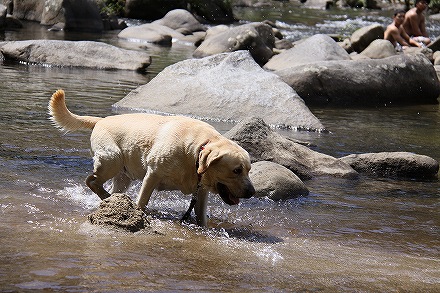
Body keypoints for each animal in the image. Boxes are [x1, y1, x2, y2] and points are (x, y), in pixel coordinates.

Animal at [48, 89, 254, 226]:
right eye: (236, 170)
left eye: (249, 170)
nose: (252, 192)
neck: (196, 150)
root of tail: (101, 120)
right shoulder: (153, 174)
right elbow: (142, 201)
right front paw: (138, 214)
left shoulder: (201, 191)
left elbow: (201, 216)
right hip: (111, 160)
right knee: (90, 180)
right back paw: (107, 196)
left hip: (123, 175)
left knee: (105, 185)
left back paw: (111, 198)